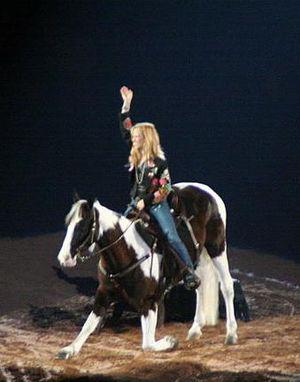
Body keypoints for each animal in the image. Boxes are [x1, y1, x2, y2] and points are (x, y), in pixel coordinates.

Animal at [57, 182, 238, 358]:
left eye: (82, 226)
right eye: (68, 224)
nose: (64, 258)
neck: (129, 252)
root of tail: (205, 190)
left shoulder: (149, 302)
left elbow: (148, 344)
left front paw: (171, 341)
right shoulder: (104, 294)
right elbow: (88, 325)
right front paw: (69, 349)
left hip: (217, 247)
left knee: (226, 286)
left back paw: (231, 334)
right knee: (199, 288)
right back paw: (195, 330)